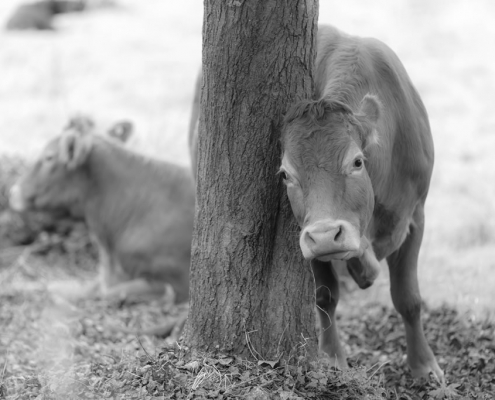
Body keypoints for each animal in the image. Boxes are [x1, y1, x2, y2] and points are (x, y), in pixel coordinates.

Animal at [192, 25, 444, 382]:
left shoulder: (416, 215)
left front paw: (424, 365)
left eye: (357, 162)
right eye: (285, 174)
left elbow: (408, 298)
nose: (327, 235)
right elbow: (326, 295)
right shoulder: (307, 235)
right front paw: (332, 356)